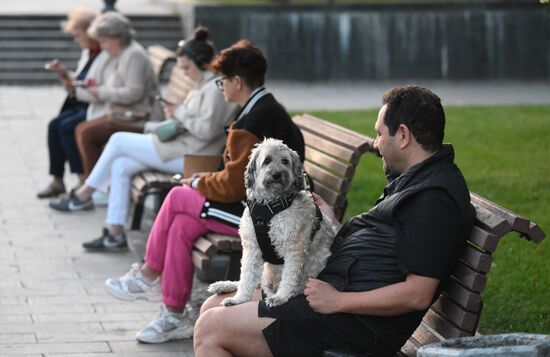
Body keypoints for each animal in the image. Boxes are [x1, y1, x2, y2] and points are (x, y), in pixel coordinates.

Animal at [209, 138, 338, 306]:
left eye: (285, 161)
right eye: (267, 160)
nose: (277, 174)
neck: (269, 204)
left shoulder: (294, 248)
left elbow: (289, 276)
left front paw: (281, 297)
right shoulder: (252, 247)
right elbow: (247, 277)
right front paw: (240, 299)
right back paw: (224, 286)